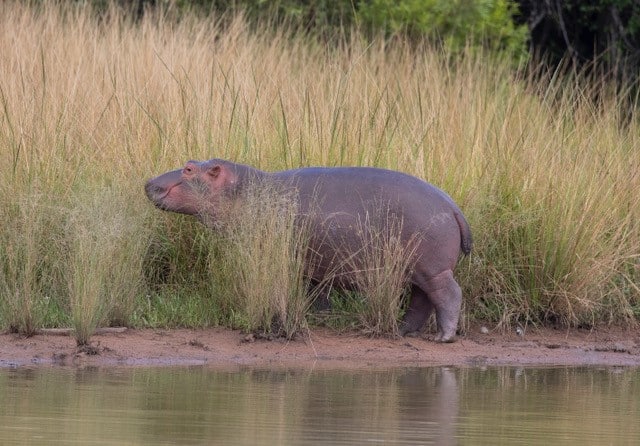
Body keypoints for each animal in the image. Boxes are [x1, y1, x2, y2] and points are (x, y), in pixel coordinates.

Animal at [145, 158, 472, 342]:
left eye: (189, 170)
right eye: (189, 161)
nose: (148, 182)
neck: (239, 190)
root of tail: (452, 205)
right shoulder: (317, 264)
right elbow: (318, 294)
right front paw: (320, 317)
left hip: (433, 268)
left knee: (448, 294)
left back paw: (443, 338)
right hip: (419, 270)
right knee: (421, 300)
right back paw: (404, 332)